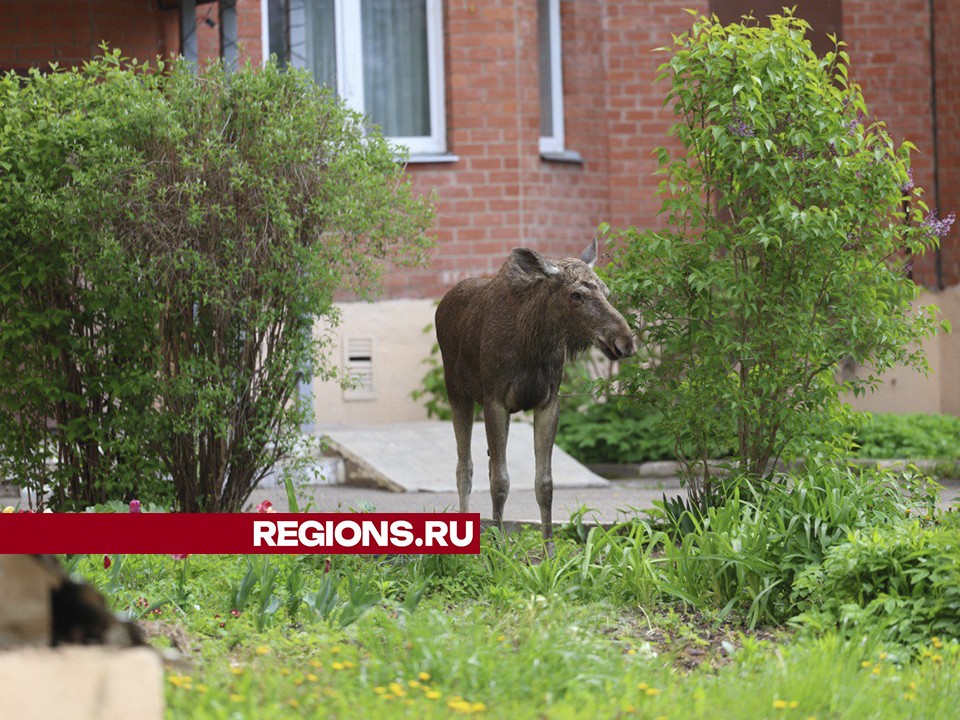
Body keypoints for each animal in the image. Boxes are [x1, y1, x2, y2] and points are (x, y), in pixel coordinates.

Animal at [436, 239, 636, 556]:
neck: (533, 343)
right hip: (457, 392)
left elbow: (544, 483)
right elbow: (500, 481)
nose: (625, 341)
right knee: (464, 467)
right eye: (576, 294)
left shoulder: (549, 402)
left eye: (606, 291)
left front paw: (549, 552)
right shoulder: (494, 400)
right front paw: (500, 552)